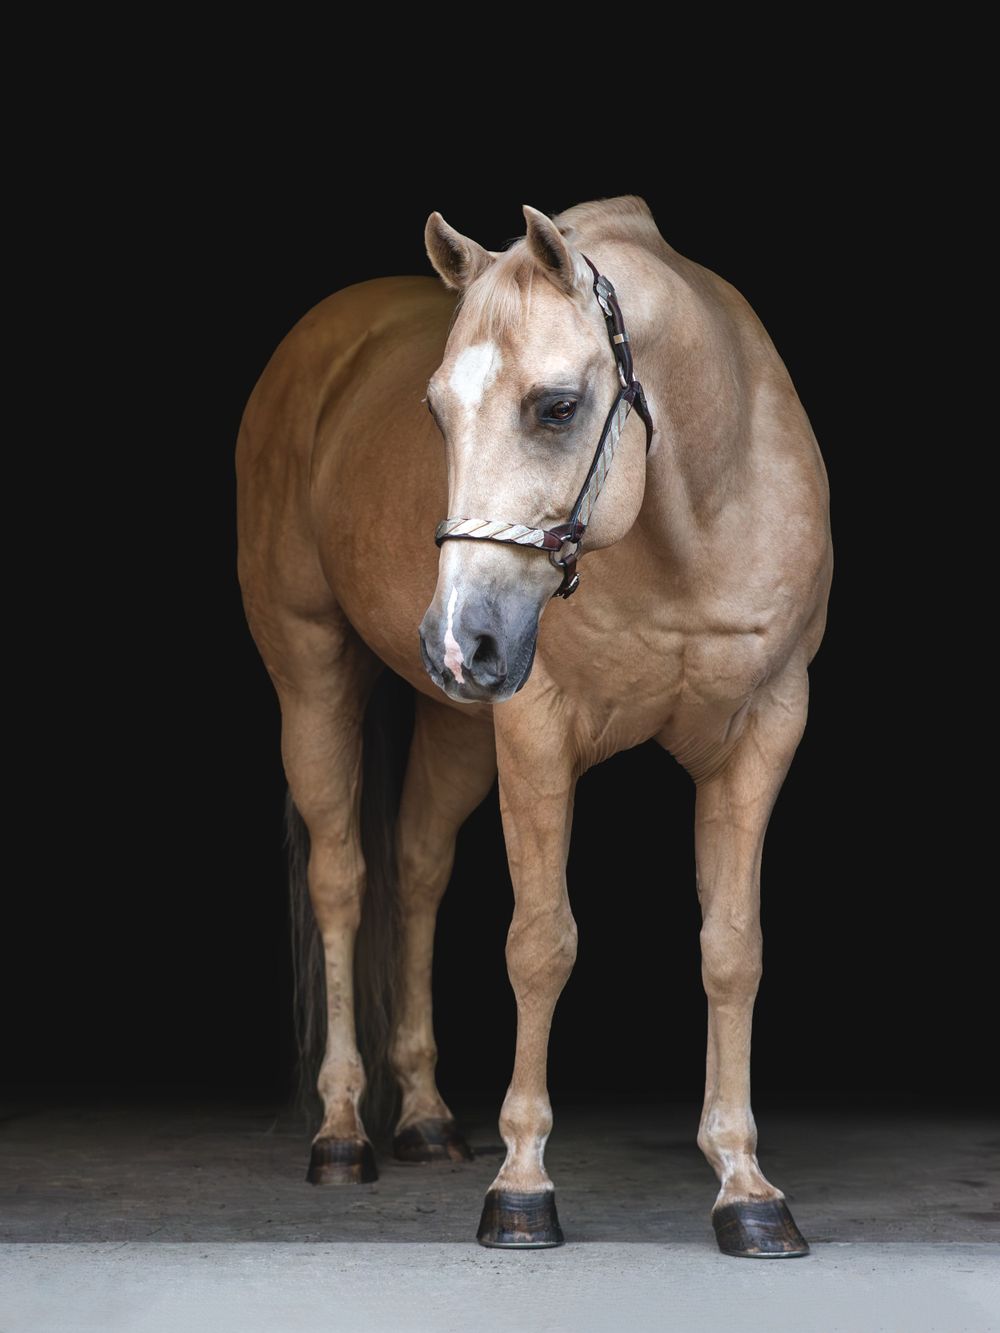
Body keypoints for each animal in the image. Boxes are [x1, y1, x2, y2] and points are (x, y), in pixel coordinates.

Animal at [235, 193, 833, 1257]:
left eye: (556, 407)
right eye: (435, 411)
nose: (454, 639)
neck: (696, 520)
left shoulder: (766, 730)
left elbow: (733, 948)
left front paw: (746, 1186)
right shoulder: (537, 733)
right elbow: (541, 943)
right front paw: (522, 1184)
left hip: (458, 725)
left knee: (419, 867)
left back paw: (427, 1117)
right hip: (312, 673)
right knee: (343, 878)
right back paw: (343, 1131)